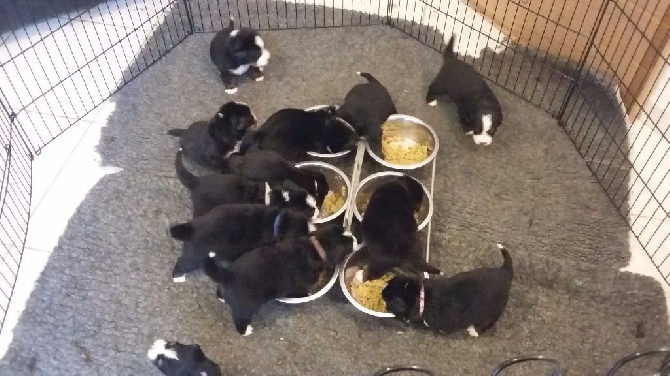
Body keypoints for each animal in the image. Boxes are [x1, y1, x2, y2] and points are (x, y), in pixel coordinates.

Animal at [169, 204, 314, 280]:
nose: (310, 238)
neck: (278, 222)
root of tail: (190, 229)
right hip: (196, 256)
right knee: (182, 263)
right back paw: (178, 277)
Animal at [203, 223, 356, 334]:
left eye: (344, 229)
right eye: (349, 244)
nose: (355, 238)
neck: (316, 246)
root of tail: (229, 275)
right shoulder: (302, 287)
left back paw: (222, 298)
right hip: (244, 308)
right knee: (240, 319)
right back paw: (246, 331)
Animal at [384, 244, 516, 338]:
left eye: (390, 301)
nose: (382, 292)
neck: (421, 295)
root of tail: (505, 272)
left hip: (495, 309)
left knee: (489, 322)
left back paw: (474, 331)